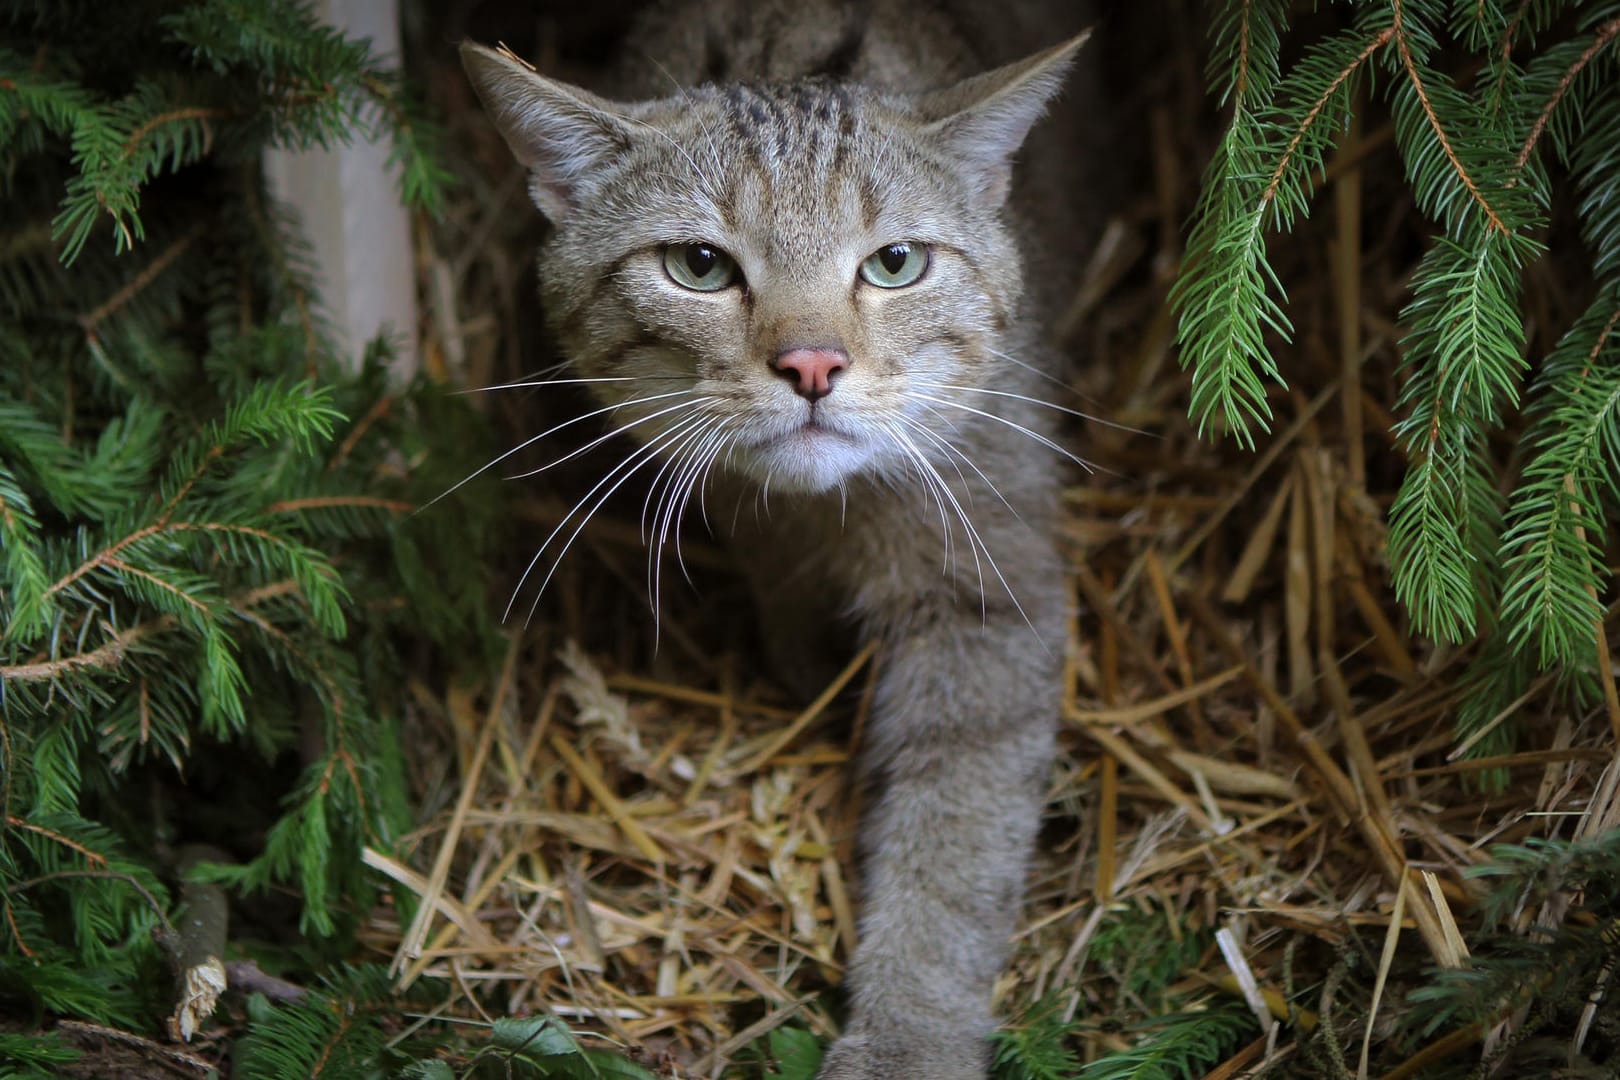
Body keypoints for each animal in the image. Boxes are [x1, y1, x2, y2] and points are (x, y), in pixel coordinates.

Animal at [463, 4, 1108, 1075]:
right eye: (698, 267)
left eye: (896, 262)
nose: (811, 364)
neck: (824, 513)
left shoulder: (990, 594)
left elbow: (953, 845)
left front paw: (907, 1036)